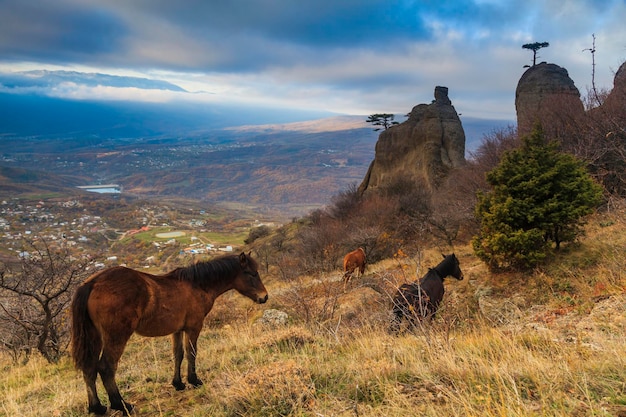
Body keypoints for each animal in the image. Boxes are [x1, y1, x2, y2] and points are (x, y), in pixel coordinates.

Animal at [70, 250, 266, 412]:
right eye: (251, 273)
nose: (264, 297)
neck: (197, 285)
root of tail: (92, 283)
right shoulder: (194, 327)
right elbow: (191, 352)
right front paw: (194, 380)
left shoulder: (177, 329)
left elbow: (178, 354)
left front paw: (178, 383)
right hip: (116, 337)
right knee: (106, 368)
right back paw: (122, 405)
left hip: (94, 337)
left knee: (89, 368)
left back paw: (97, 407)